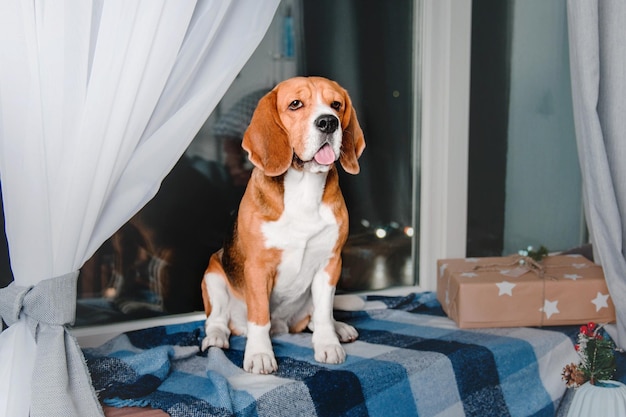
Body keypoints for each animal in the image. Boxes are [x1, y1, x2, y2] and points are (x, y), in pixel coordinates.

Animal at [200, 75, 366, 374]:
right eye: (295, 104)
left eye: (336, 104)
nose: (329, 122)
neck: (304, 188)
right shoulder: (257, 267)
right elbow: (259, 317)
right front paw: (259, 355)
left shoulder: (330, 263)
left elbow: (324, 313)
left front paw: (328, 344)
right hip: (213, 274)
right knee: (217, 319)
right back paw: (216, 337)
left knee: (314, 317)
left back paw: (340, 328)